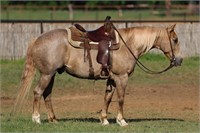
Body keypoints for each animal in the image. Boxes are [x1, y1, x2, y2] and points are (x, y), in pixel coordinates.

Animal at [12, 23, 183, 126]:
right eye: (175, 40)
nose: (180, 60)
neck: (128, 44)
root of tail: (37, 39)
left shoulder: (112, 79)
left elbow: (107, 98)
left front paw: (105, 120)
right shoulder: (122, 77)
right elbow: (121, 99)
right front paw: (122, 121)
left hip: (51, 74)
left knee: (47, 95)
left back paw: (53, 119)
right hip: (47, 74)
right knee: (37, 92)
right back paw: (36, 119)